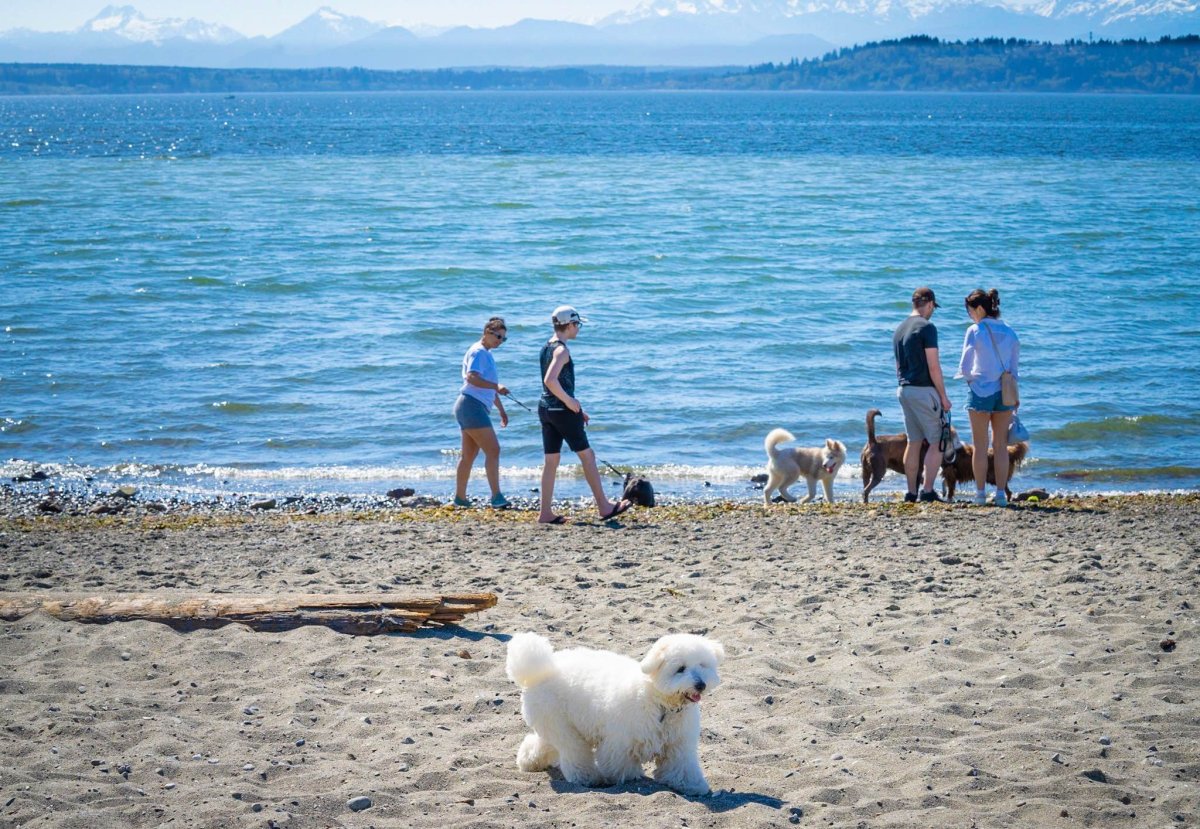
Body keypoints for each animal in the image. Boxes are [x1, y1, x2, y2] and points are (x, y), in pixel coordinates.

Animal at [506, 633, 720, 796]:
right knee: (574, 753)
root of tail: (540, 670)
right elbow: (619, 764)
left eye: (702, 665)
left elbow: (682, 768)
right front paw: (626, 777)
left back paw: (529, 761)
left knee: (542, 743)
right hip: (562, 727)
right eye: (680, 669)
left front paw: (693, 786)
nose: (700, 685)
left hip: (553, 722)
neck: (659, 702)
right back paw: (588, 777)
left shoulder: (678, 745)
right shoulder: (620, 741)